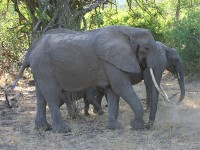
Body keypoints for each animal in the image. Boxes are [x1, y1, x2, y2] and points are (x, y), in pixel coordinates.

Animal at [9, 25, 166, 132]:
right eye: (146, 48)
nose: (149, 125)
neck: (130, 31)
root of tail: (30, 51)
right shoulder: (111, 61)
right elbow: (121, 88)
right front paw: (136, 126)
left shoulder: (112, 62)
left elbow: (113, 91)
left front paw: (114, 127)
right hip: (45, 68)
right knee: (52, 95)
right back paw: (63, 130)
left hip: (39, 70)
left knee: (41, 96)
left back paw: (43, 128)